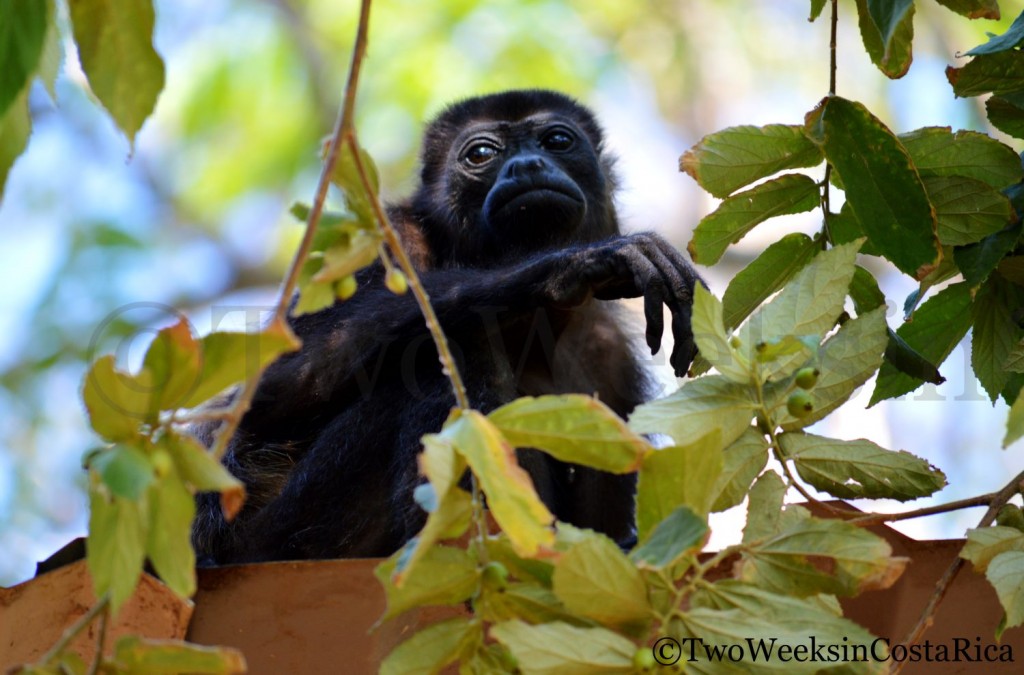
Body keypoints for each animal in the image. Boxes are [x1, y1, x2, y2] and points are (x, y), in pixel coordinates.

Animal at [190, 89, 704, 565]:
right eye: (481, 154)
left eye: (558, 141)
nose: (528, 165)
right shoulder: (388, 235)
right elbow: (278, 381)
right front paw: (564, 267)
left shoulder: (609, 354)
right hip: (279, 536)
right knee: (449, 351)